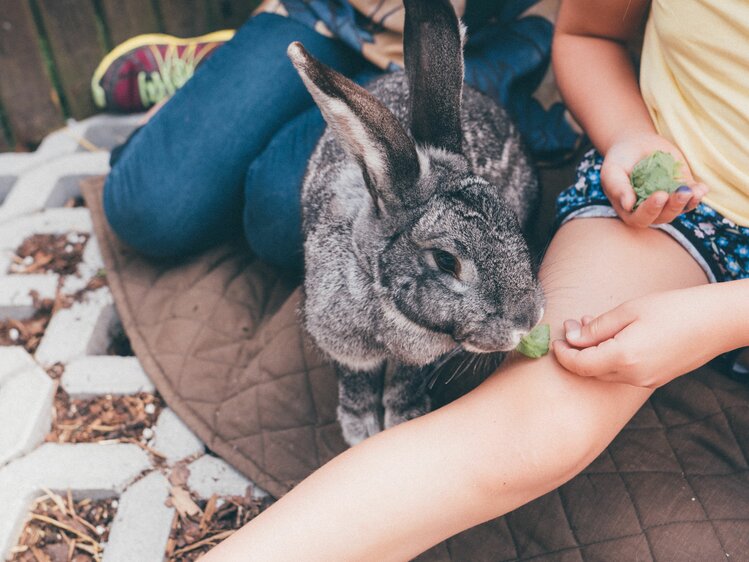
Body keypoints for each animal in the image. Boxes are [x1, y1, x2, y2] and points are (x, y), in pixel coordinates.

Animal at [288, 0, 544, 446]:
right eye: (446, 260)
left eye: (512, 225)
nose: (528, 321)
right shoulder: (341, 344)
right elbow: (354, 380)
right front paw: (360, 428)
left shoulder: (416, 359)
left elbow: (405, 379)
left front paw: (401, 417)